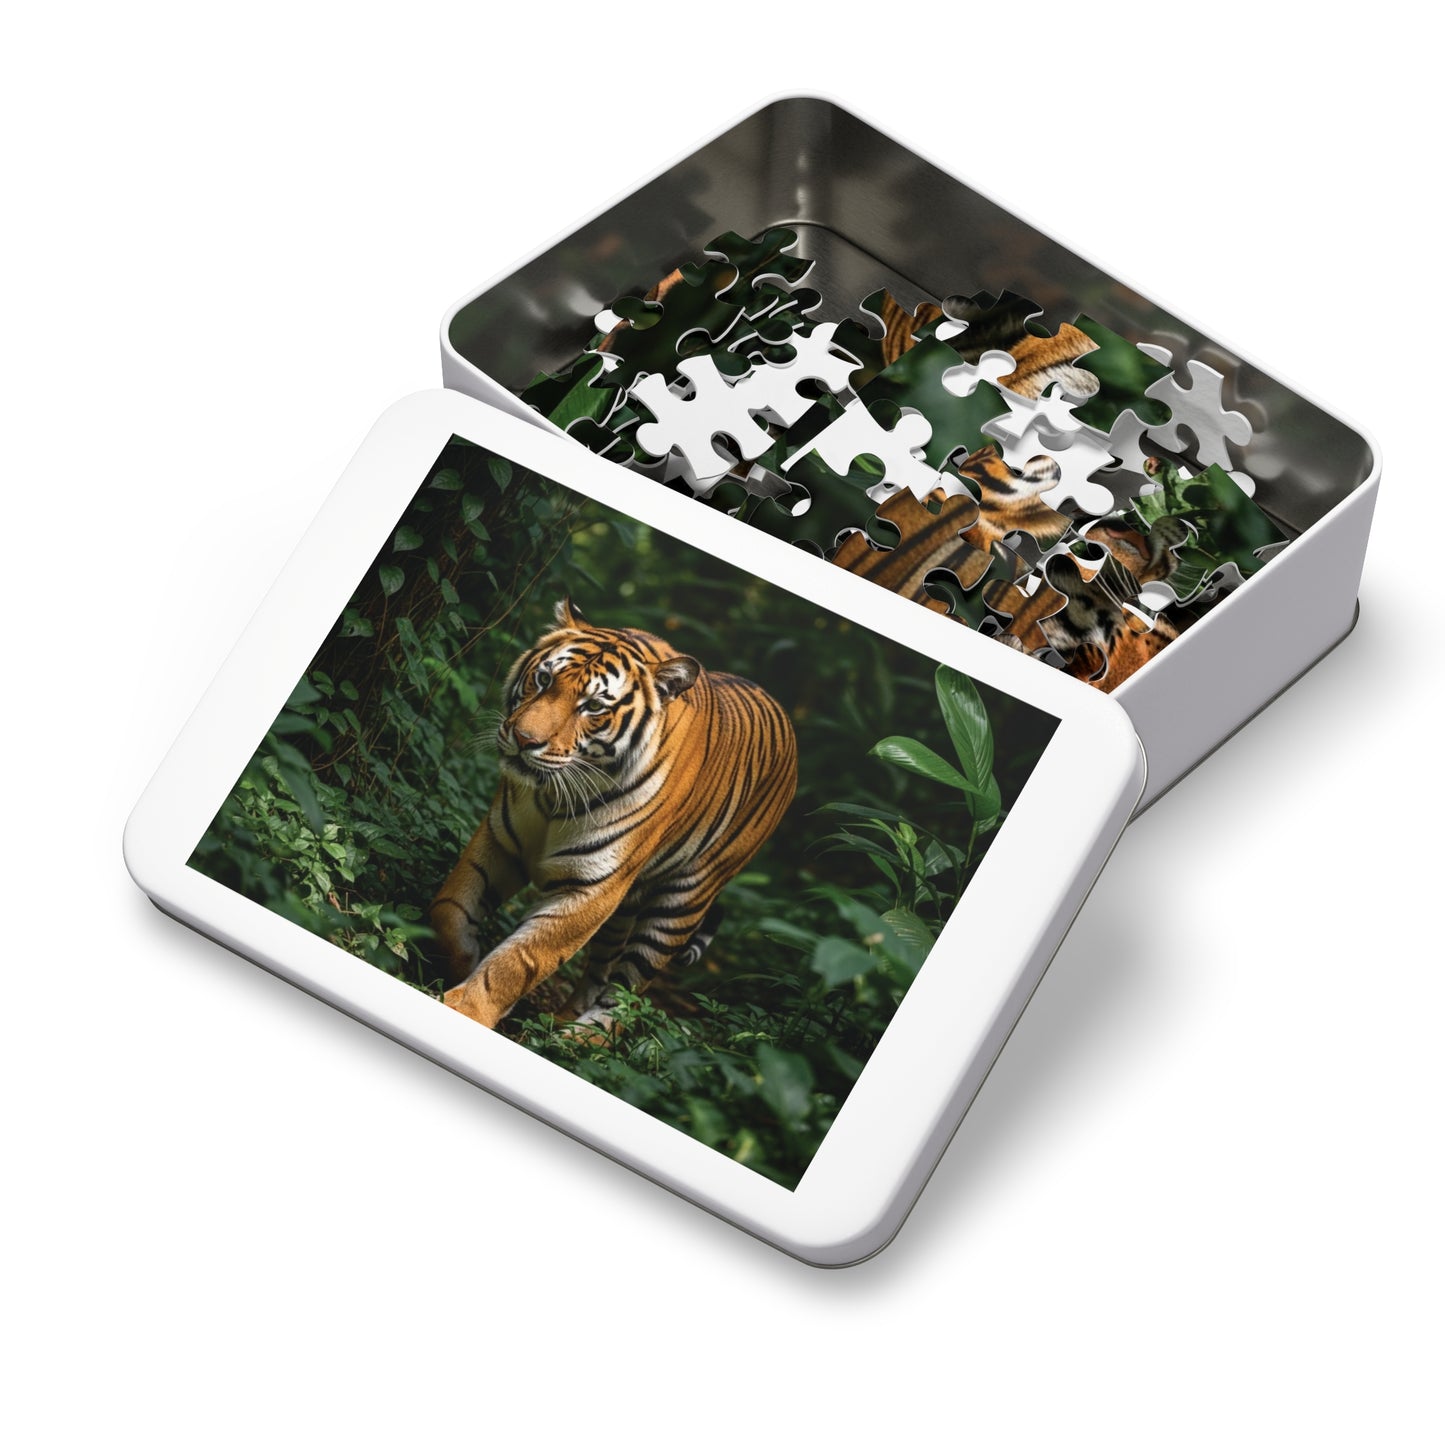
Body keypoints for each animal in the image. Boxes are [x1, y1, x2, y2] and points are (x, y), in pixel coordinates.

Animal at [431, 599, 798, 1031]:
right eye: (543, 679)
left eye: (593, 706)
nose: (523, 739)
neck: (553, 795)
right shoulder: (498, 841)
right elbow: (449, 911)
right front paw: (461, 964)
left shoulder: (590, 888)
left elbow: (519, 961)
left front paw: (463, 1010)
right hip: (624, 909)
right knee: (601, 968)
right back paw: (559, 1023)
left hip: (682, 903)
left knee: (627, 993)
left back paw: (584, 1037)